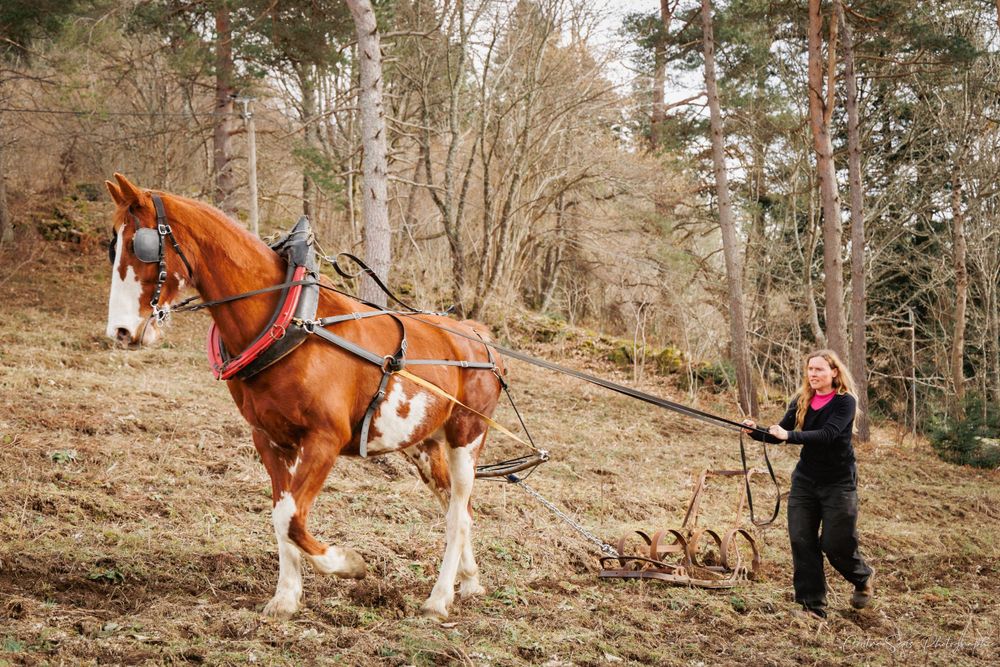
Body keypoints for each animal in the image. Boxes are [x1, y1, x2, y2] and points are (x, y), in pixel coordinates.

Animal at [103, 173, 504, 621]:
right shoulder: (271, 440)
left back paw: (438, 598)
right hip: (423, 446)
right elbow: (282, 516)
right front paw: (286, 597)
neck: (289, 320)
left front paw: (347, 563)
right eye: (112, 246)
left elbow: (293, 519)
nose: (120, 331)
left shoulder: (323, 440)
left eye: (141, 246)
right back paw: (469, 581)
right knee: (458, 509)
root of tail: (475, 334)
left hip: (466, 438)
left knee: (458, 516)